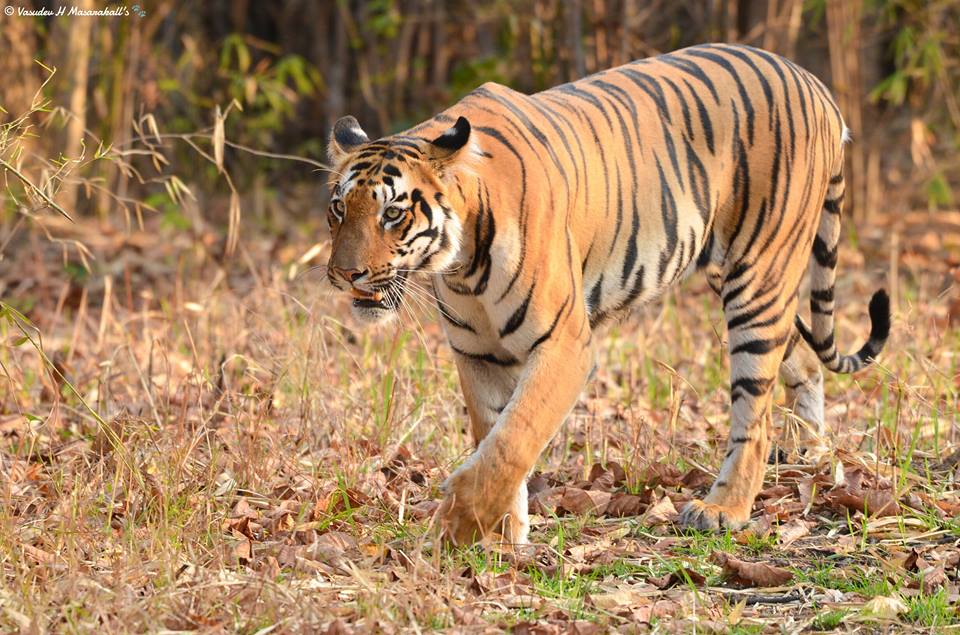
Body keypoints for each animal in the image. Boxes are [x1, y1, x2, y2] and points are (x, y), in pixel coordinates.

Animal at [323, 43, 890, 545]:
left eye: (392, 213)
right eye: (338, 209)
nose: (345, 275)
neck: (462, 263)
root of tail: (815, 83)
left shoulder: (565, 344)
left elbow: (513, 437)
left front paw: (460, 529)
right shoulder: (478, 352)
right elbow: (492, 432)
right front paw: (500, 533)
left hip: (758, 276)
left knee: (756, 412)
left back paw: (723, 509)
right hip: (744, 278)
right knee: (803, 362)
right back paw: (807, 454)